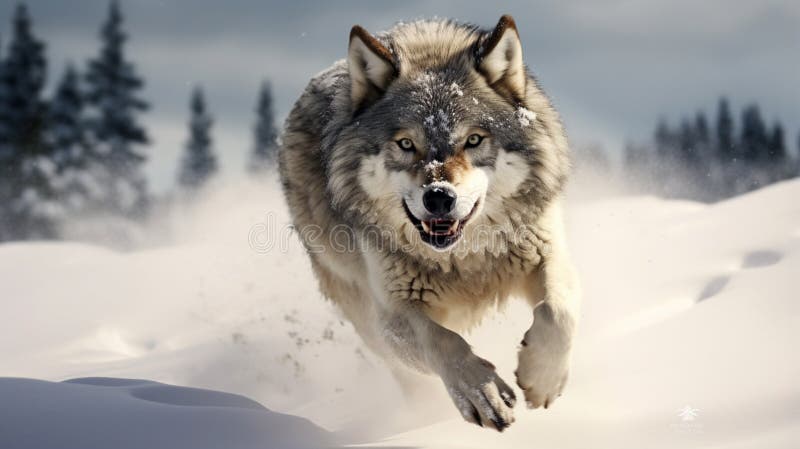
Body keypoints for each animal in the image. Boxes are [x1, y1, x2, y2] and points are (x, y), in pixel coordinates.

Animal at [279, 15, 579, 431]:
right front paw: (481, 392)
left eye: (473, 140)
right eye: (406, 144)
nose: (438, 197)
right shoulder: (392, 316)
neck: (463, 260)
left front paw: (542, 379)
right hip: (362, 313)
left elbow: (557, 314)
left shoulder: (545, 252)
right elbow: (442, 341)